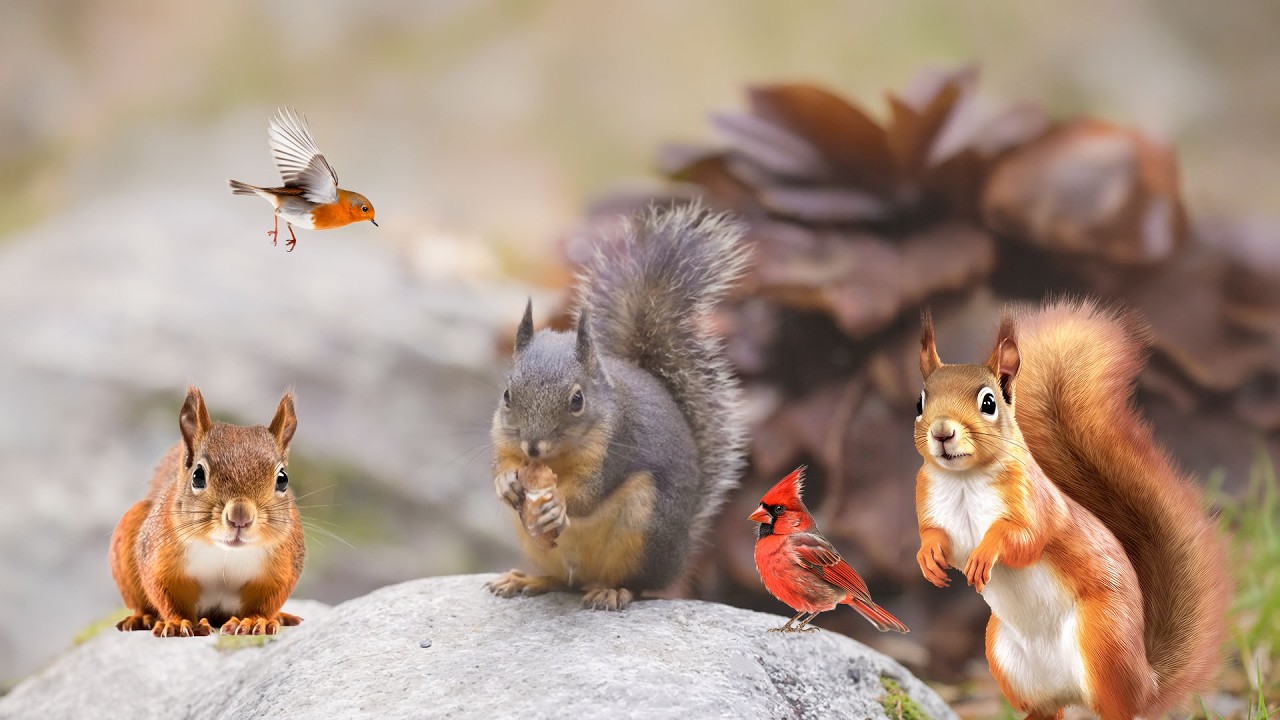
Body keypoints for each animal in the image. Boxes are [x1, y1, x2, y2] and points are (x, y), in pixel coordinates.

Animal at [109, 386, 306, 637]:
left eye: (283, 479)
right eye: (198, 475)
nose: (240, 517)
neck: (224, 553)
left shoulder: (283, 565)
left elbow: (267, 600)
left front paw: (255, 621)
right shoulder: (157, 556)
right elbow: (166, 594)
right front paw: (177, 623)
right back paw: (142, 617)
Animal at [486, 203, 750, 610]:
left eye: (577, 400)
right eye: (507, 395)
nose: (533, 446)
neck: (555, 460)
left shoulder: (614, 447)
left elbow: (588, 495)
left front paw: (557, 502)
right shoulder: (503, 438)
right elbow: (502, 465)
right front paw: (506, 483)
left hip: (645, 532)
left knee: (638, 585)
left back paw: (613, 590)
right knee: (560, 580)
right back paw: (526, 579)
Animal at [912, 299, 1230, 720]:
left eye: (988, 403)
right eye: (920, 402)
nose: (942, 432)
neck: (963, 481)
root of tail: (1145, 683)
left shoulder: (1037, 504)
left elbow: (1025, 540)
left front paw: (986, 552)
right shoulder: (928, 501)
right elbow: (935, 536)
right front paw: (928, 557)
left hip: (1102, 641)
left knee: (1117, 710)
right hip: (1004, 654)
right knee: (1047, 710)